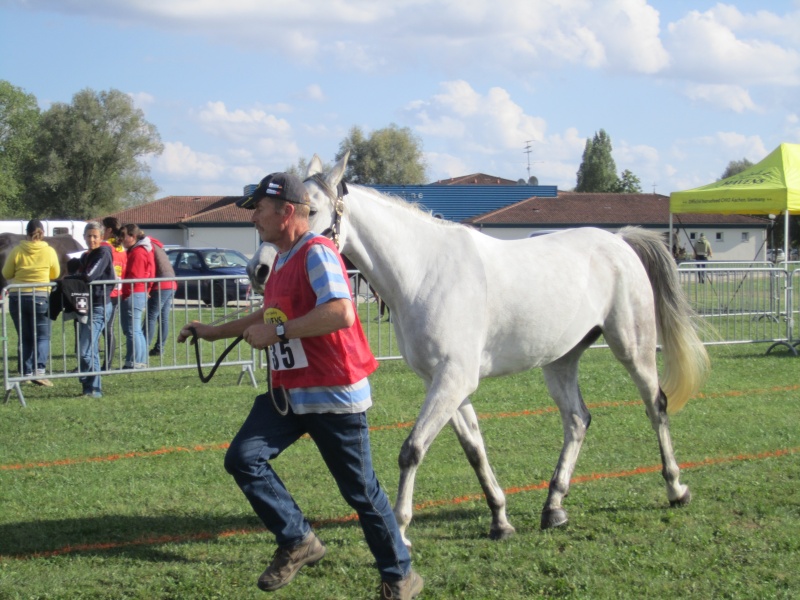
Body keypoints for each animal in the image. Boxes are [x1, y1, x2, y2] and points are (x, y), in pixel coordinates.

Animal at [247, 154, 708, 544]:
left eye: (309, 210)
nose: (259, 270)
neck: (422, 271)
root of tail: (621, 241)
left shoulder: (453, 379)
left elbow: (412, 450)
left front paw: (401, 527)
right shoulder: (446, 382)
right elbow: (474, 449)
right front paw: (500, 520)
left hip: (633, 347)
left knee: (655, 405)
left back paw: (676, 487)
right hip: (560, 360)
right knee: (577, 420)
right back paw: (554, 506)